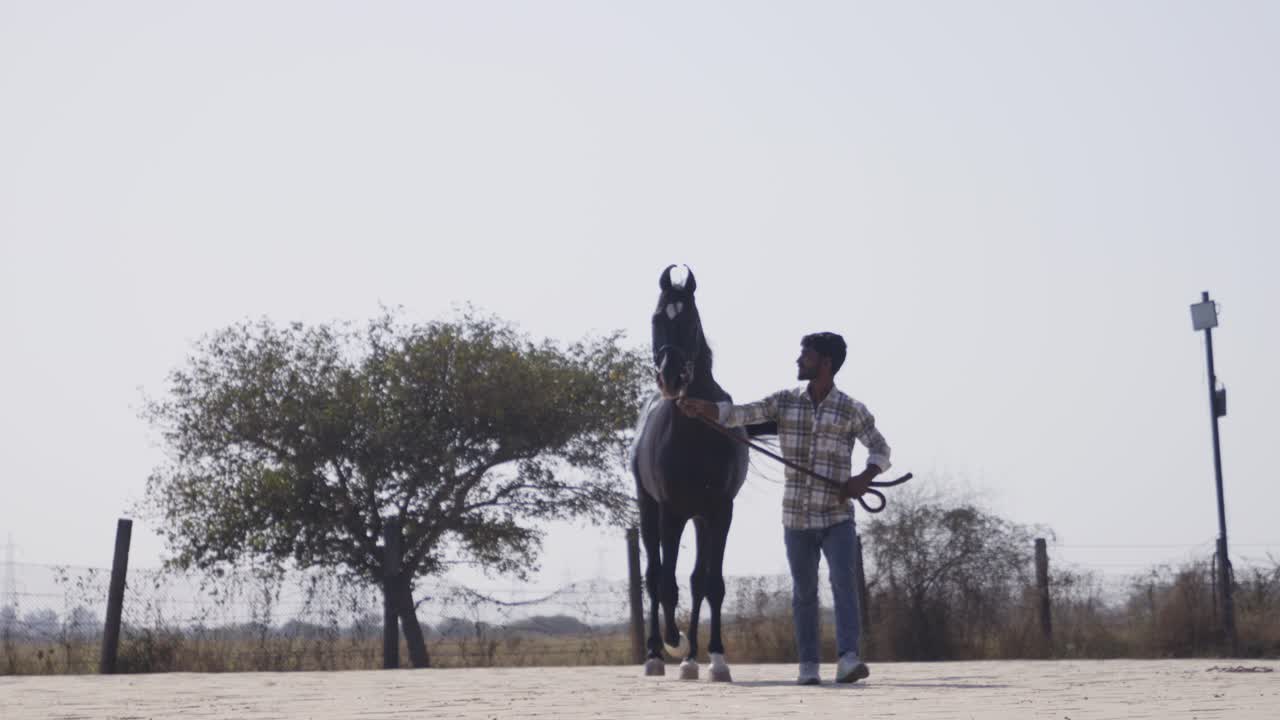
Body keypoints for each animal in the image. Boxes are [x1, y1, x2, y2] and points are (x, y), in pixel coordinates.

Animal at [631, 264, 767, 682]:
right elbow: (665, 583)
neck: (695, 429)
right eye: (656, 318)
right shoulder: (670, 511)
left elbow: (711, 584)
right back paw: (657, 653)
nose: (671, 377)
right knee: (654, 576)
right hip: (649, 510)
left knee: (693, 581)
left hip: (700, 518)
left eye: (690, 321)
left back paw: (692, 658)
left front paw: (716, 658)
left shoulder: (720, 511)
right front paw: (672, 642)